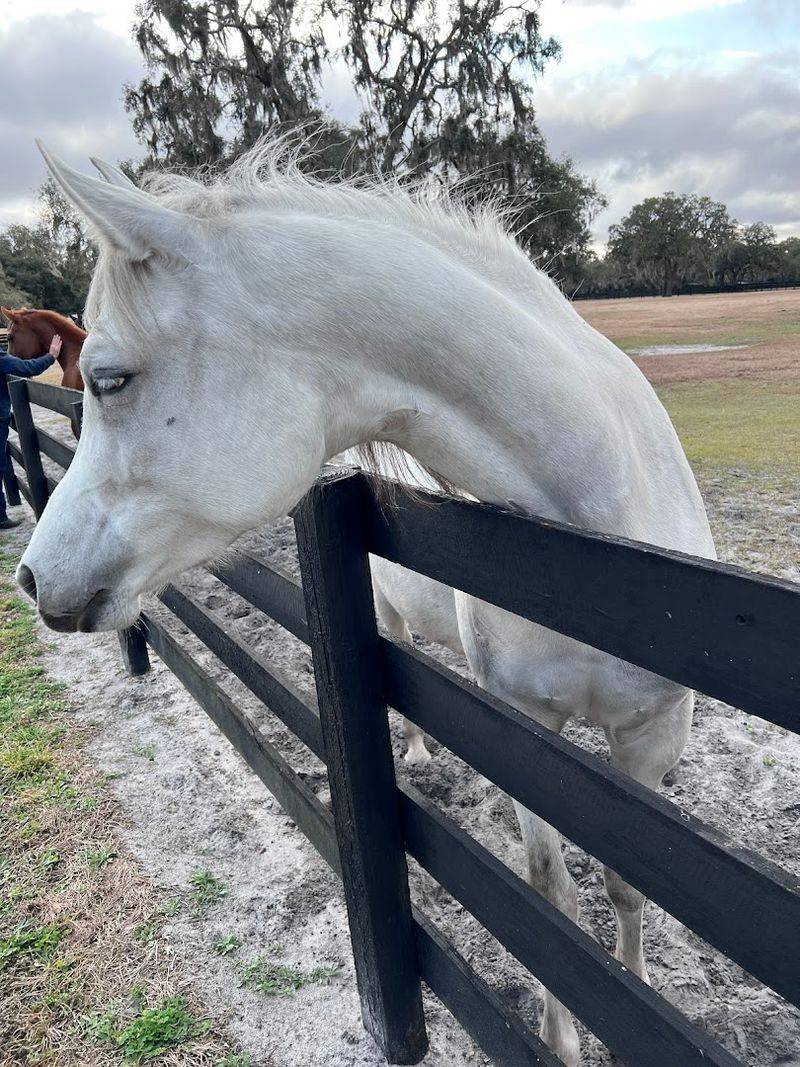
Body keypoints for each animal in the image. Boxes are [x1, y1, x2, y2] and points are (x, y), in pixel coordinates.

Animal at [19, 139, 716, 1064]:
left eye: (110, 378)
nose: (33, 577)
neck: (603, 552)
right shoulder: (527, 735)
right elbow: (548, 899)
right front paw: (563, 1040)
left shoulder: (649, 737)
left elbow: (625, 886)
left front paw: (632, 989)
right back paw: (417, 753)